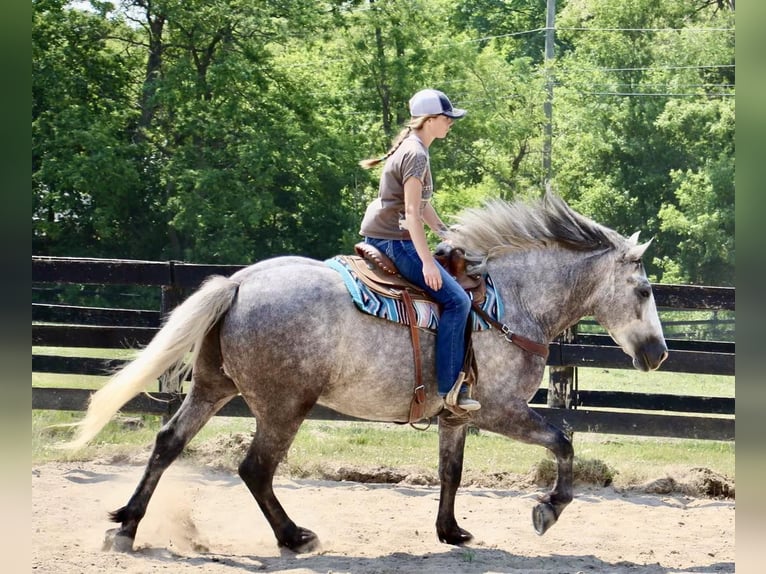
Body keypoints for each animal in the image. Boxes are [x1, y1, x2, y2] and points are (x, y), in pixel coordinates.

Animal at [64, 192, 664, 552]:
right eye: (643, 290)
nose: (658, 353)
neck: (509, 302)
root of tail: (239, 282)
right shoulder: (499, 409)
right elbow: (562, 442)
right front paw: (548, 510)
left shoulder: (456, 416)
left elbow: (451, 473)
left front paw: (451, 531)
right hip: (284, 407)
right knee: (256, 469)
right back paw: (294, 537)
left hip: (214, 388)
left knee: (168, 442)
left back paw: (127, 525)